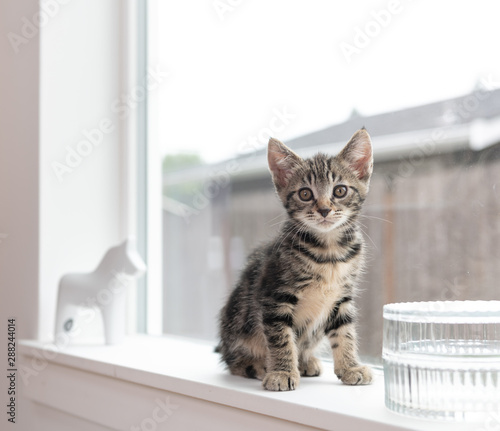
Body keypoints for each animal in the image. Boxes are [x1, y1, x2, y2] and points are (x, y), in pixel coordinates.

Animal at [217, 128, 374, 392]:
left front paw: (350, 367)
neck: (329, 252)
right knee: (233, 361)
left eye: (340, 190)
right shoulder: (274, 297)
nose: (324, 210)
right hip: (236, 322)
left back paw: (306, 361)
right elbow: (281, 338)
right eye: (305, 194)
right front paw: (282, 372)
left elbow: (345, 332)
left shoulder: (342, 297)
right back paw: (257, 365)